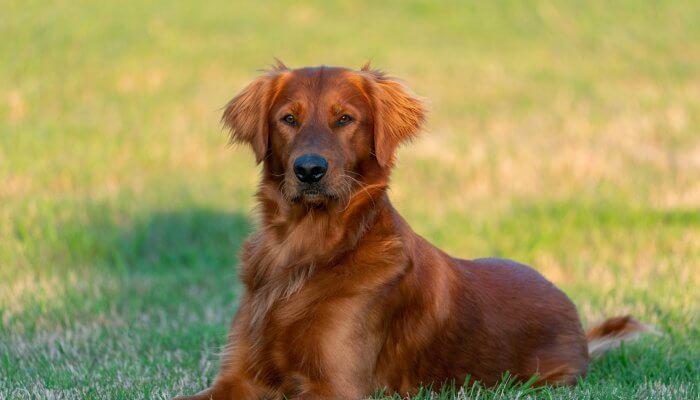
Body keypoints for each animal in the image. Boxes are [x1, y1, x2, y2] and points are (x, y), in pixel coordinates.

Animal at [174, 62, 644, 400]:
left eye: (345, 119)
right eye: (288, 119)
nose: (309, 170)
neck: (305, 248)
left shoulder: (336, 388)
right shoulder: (238, 377)